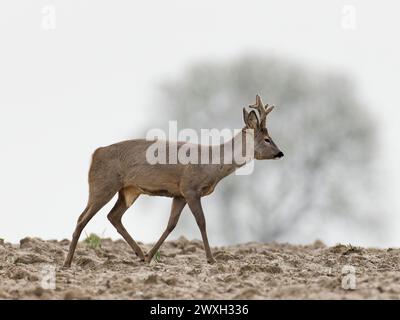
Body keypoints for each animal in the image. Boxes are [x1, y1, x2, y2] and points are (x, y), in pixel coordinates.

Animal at [63, 95, 282, 268]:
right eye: (267, 139)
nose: (280, 153)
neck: (212, 164)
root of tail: (95, 153)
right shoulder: (190, 188)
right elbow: (202, 222)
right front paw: (211, 259)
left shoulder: (179, 194)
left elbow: (171, 224)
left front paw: (150, 257)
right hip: (102, 185)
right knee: (82, 218)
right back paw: (67, 263)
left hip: (128, 190)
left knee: (113, 216)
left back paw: (139, 254)